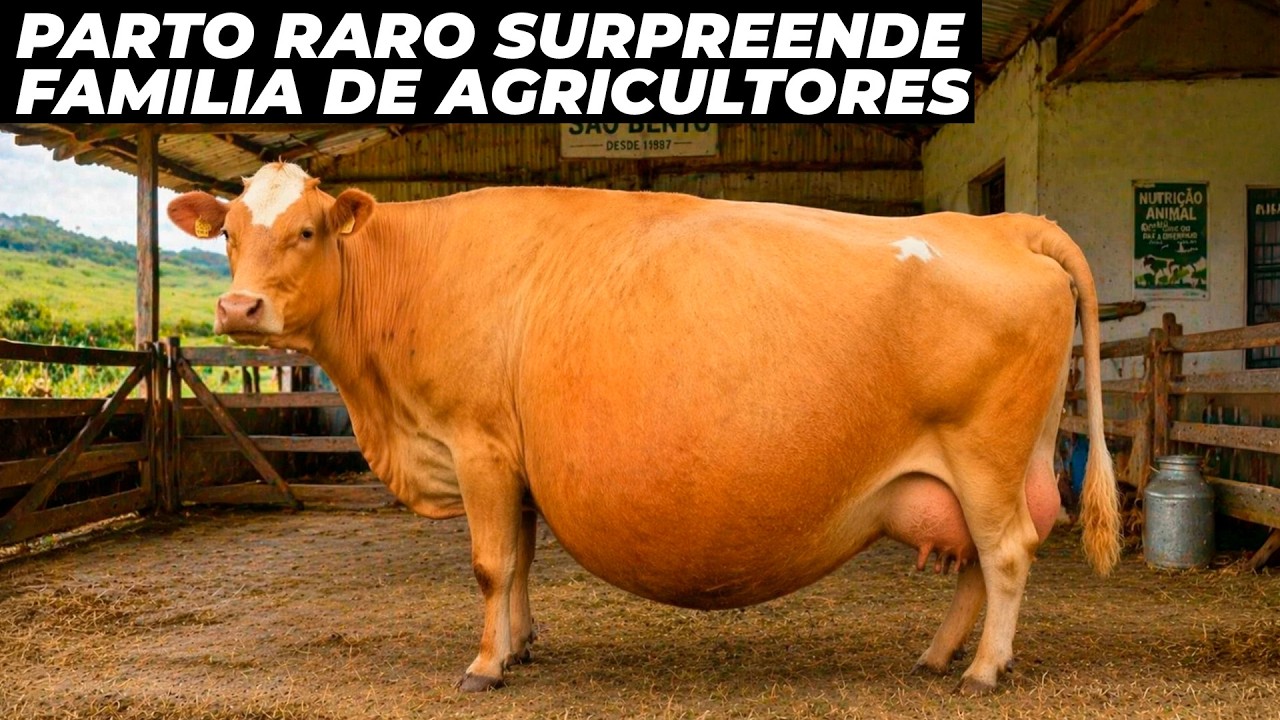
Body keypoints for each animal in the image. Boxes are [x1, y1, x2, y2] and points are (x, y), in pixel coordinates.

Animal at [167, 161, 1120, 696]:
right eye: (230, 234)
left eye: (308, 229)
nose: (237, 308)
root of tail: (1001, 224)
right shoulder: (515, 458)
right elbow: (519, 562)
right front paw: (521, 645)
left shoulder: (478, 443)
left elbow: (490, 563)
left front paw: (484, 666)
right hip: (978, 468)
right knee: (982, 562)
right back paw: (938, 655)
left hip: (983, 454)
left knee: (1005, 554)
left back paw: (984, 672)